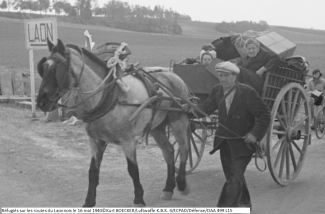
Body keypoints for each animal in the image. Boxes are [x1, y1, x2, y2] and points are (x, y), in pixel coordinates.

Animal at [36, 38, 190, 207]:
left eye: (58, 68)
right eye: (43, 67)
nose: (41, 103)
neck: (109, 96)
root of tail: (172, 74)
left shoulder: (127, 140)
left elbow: (133, 169)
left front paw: (139, 199)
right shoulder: (96, 140)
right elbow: (93, 171)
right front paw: (89, 201)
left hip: (179, 121)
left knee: (184, 149)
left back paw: (181, 183)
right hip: (157, 127)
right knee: (168, 151)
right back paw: (168, 187)